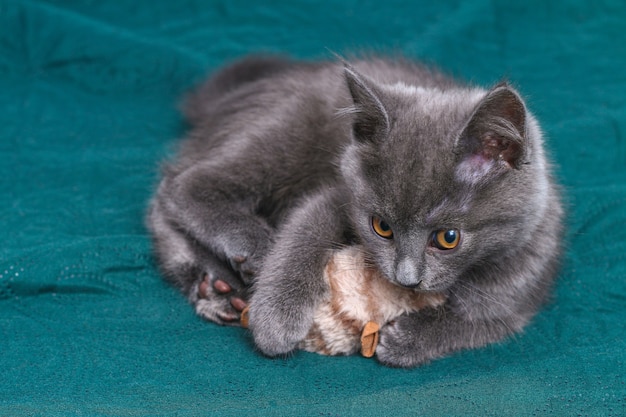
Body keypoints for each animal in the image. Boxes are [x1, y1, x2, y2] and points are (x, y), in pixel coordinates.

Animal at [149, 55, 564, 368]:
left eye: (448, 238)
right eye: (381, 227)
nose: (406, 278)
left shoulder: (522, 279)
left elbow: (483, 320)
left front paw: (410, 339)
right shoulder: (337, 193)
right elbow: (302, 235)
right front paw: (276, 321)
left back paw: (215, 287)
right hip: (284, 131)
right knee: (181, 185)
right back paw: (242, 254)